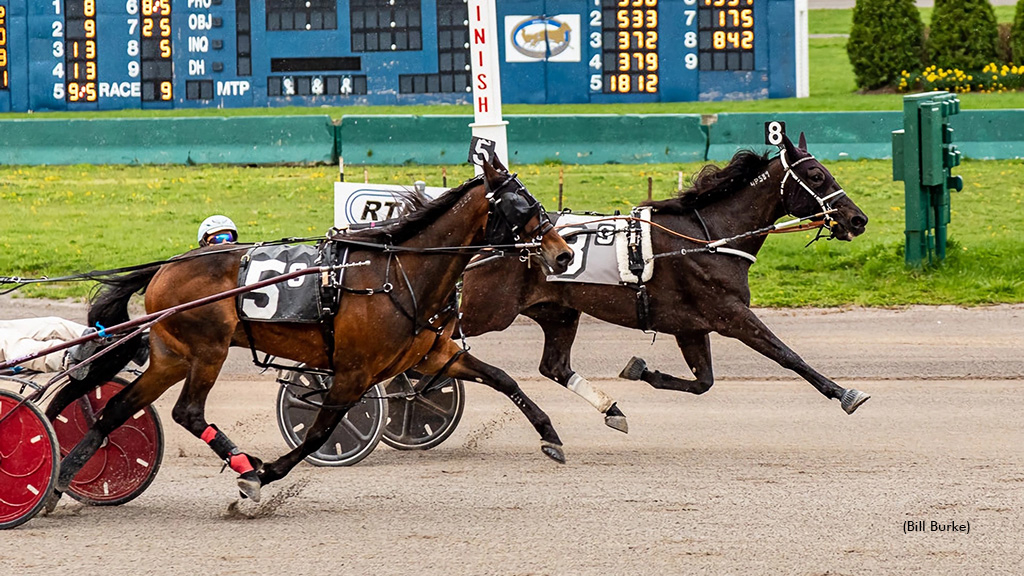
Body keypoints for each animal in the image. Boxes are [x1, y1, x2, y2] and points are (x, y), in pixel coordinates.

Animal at [46, 158, 577, 504]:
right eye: (521, 204)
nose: (563, 253)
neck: (396, 271)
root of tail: (165, 268)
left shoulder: (431, 353)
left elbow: (502, 378)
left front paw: (551, 435)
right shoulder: (353, 372)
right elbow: (320, 430)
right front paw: (262, 475)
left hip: (172, 355)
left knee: (117, 407)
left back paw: (62, 476)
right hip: (207, 350)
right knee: (187, 411)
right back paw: (240, 462)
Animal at [464, 133, 872, 430]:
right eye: (817, 176)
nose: (858, 219)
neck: (708, 239)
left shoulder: (690, 326)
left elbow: (703, 382)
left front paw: (640, 370)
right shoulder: (731, 314)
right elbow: (787, 355)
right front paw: (844, 393)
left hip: (558, 312)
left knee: (554, 366)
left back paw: (611, 409)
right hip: (487, 309)